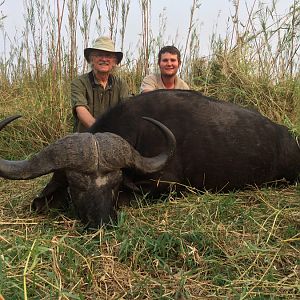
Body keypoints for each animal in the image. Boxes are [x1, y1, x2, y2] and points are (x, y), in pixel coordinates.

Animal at [0, 89, 300, 227]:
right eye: (75, 186)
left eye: (115, 184)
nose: (103, 222)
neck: (139, 132)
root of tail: (288, 138)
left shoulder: (168, 186)